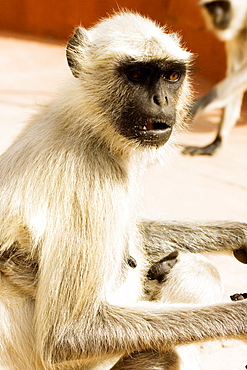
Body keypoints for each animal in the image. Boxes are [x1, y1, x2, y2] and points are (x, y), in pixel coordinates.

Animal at [183, 0, 247, 155]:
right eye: (211, 8)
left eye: (223, 5)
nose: (217, 16)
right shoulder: (238, 33)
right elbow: (234, 70)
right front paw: (217, 141)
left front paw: (202, 102)